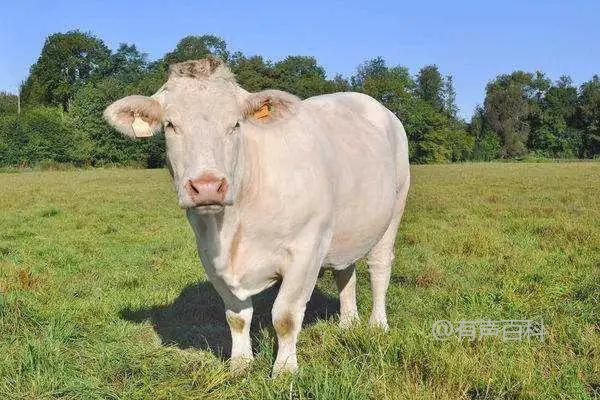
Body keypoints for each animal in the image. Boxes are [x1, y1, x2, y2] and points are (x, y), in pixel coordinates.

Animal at [105, 57, 410, 378]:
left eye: (235, 124)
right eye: (171, 125)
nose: (207, 186)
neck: (232, 228)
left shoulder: (307, 247)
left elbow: (285, 315)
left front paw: (285, 371)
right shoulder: (209, 256)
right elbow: (237, 316)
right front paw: (240, 364)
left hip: (395, 207)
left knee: (379, 267)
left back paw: (377, 325)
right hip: (347, 228)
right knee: (345, 271)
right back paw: (348, 324)